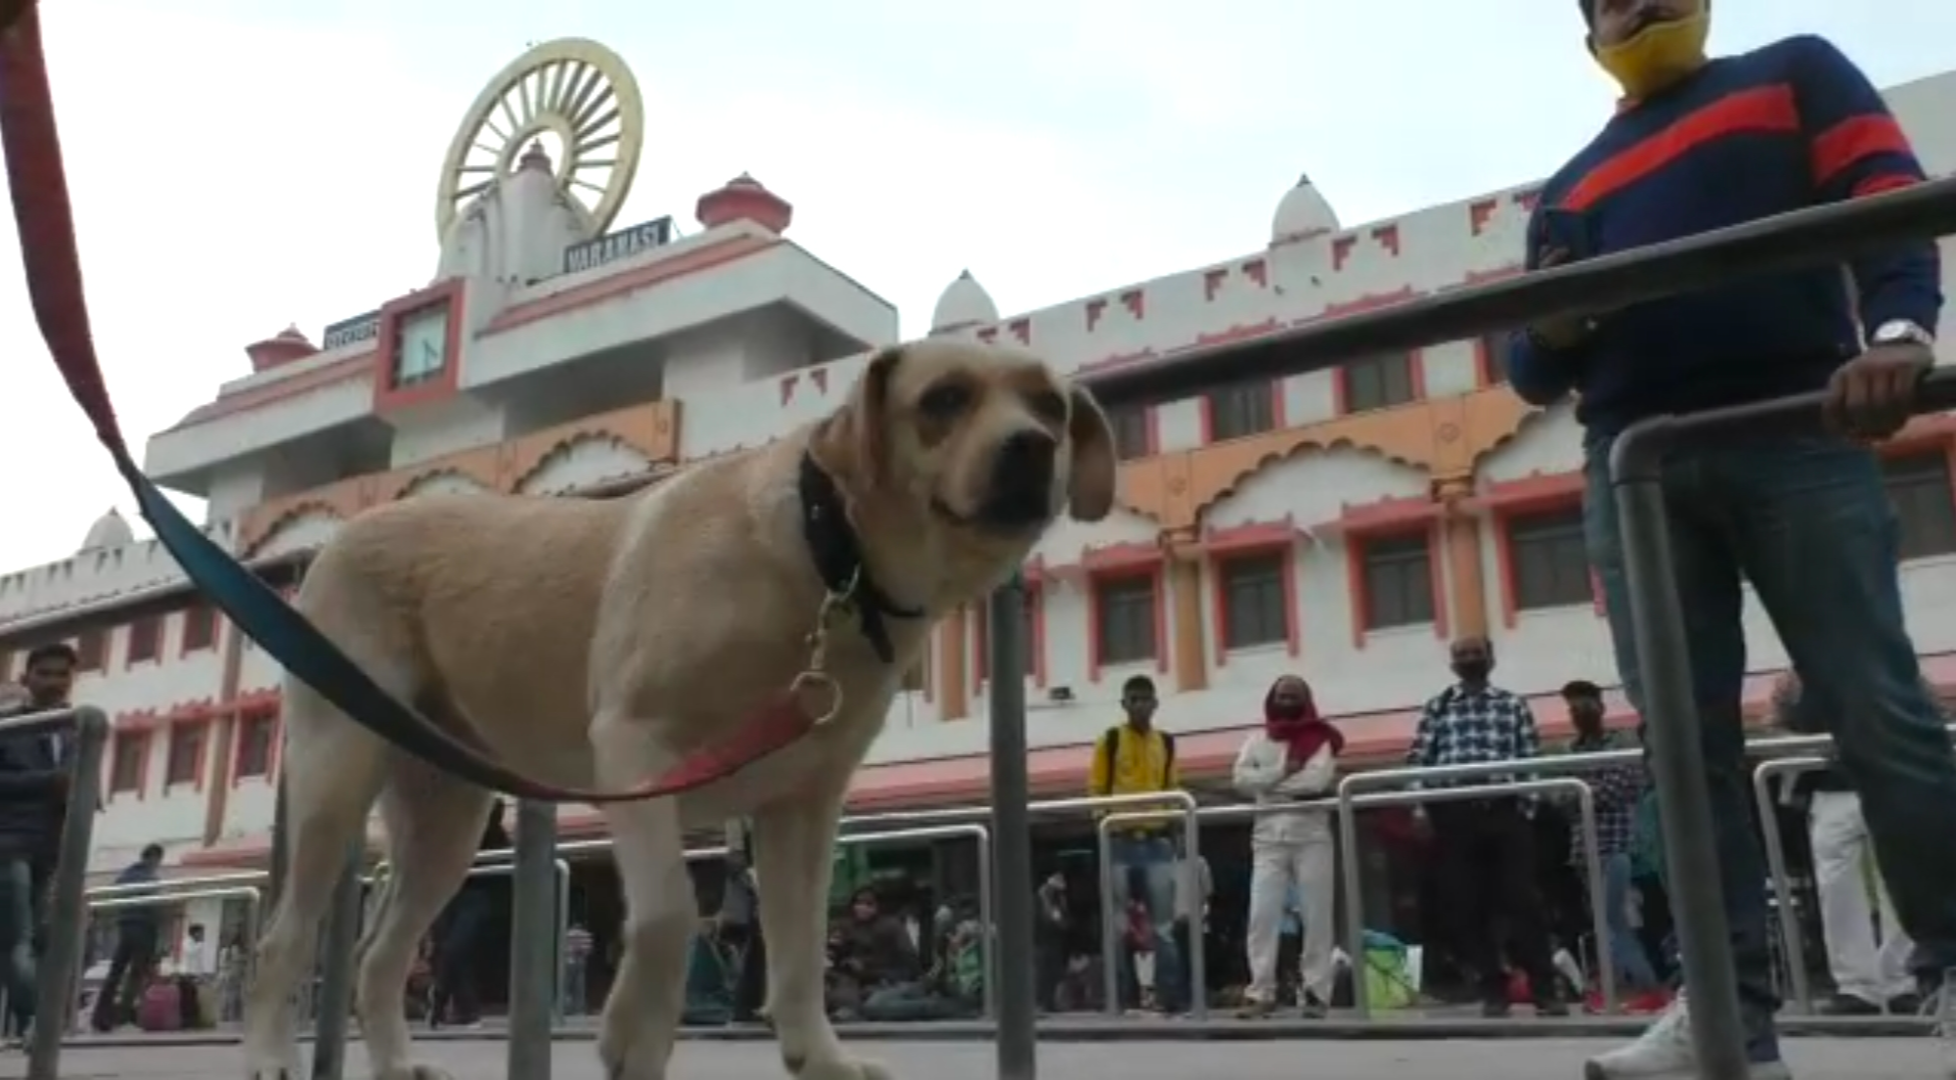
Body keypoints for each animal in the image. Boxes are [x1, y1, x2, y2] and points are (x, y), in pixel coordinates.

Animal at [244, 342, 1118, 1080]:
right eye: (944, 399)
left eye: (1050, 405)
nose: (1033, 448)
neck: (825, 553)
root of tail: (341, 537)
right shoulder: (634, 748)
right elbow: (668, 910)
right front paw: (632, 1032)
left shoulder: (803, 808)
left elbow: (801, 948)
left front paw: (819, 1056)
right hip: (336, 777)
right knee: (285, 939)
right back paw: (270, 1056)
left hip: (448, 818)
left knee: (377, 955)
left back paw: (395, 1062)